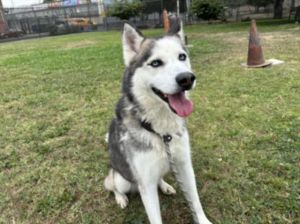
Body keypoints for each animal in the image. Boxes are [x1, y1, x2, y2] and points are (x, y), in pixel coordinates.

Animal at [104, 18, 212, 224]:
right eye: (155, 63)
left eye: (182, 57)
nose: (187, 78)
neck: (162, 131)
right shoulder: (146, 183)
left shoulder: (185, 166)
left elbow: (195, 201)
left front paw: (202, 220)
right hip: (122, 179)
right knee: (112, 185)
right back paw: (120, 198)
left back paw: (165, 185)